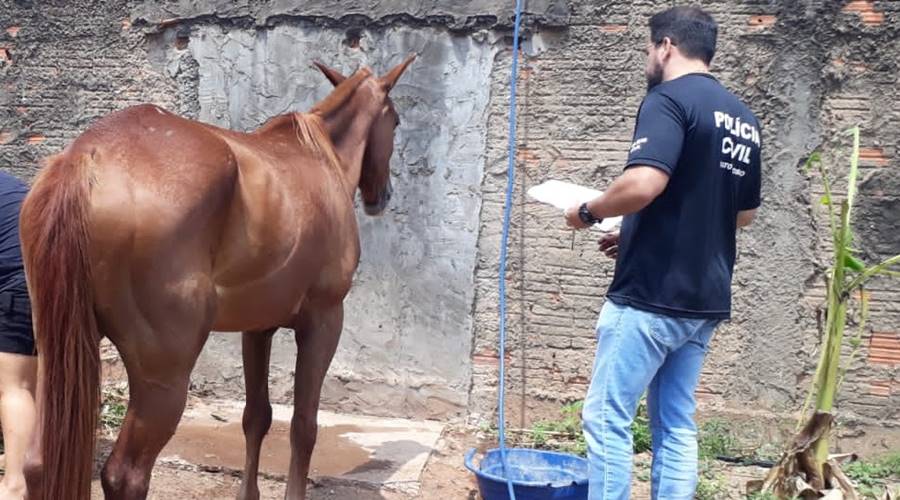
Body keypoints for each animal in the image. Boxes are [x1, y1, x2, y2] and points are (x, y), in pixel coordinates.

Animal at [19, 55, 416, 500]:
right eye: (395, 120)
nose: (382, 196)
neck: (320, 157)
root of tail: (89, 155)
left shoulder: (258, 329)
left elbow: (256, 416)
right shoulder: (324, 320)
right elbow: (303, 426)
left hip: (58, 353)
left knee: (37, 463)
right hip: (163, 378)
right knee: (125, 476)